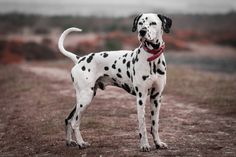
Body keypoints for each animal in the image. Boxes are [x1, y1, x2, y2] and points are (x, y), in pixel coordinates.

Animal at [57, 13, 171, 152]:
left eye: (153, 23)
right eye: (140, 23)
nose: (142, 32)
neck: (152, 59)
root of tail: (79, 59)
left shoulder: (156, 97)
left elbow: (155, 125)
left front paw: (158, 143)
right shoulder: (141, 98)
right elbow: (142, 125)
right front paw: (144, 145)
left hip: (83, 98)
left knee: (68, 119)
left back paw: (69, 141)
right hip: (85, 99)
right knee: (74, 122)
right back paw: (81, 143)